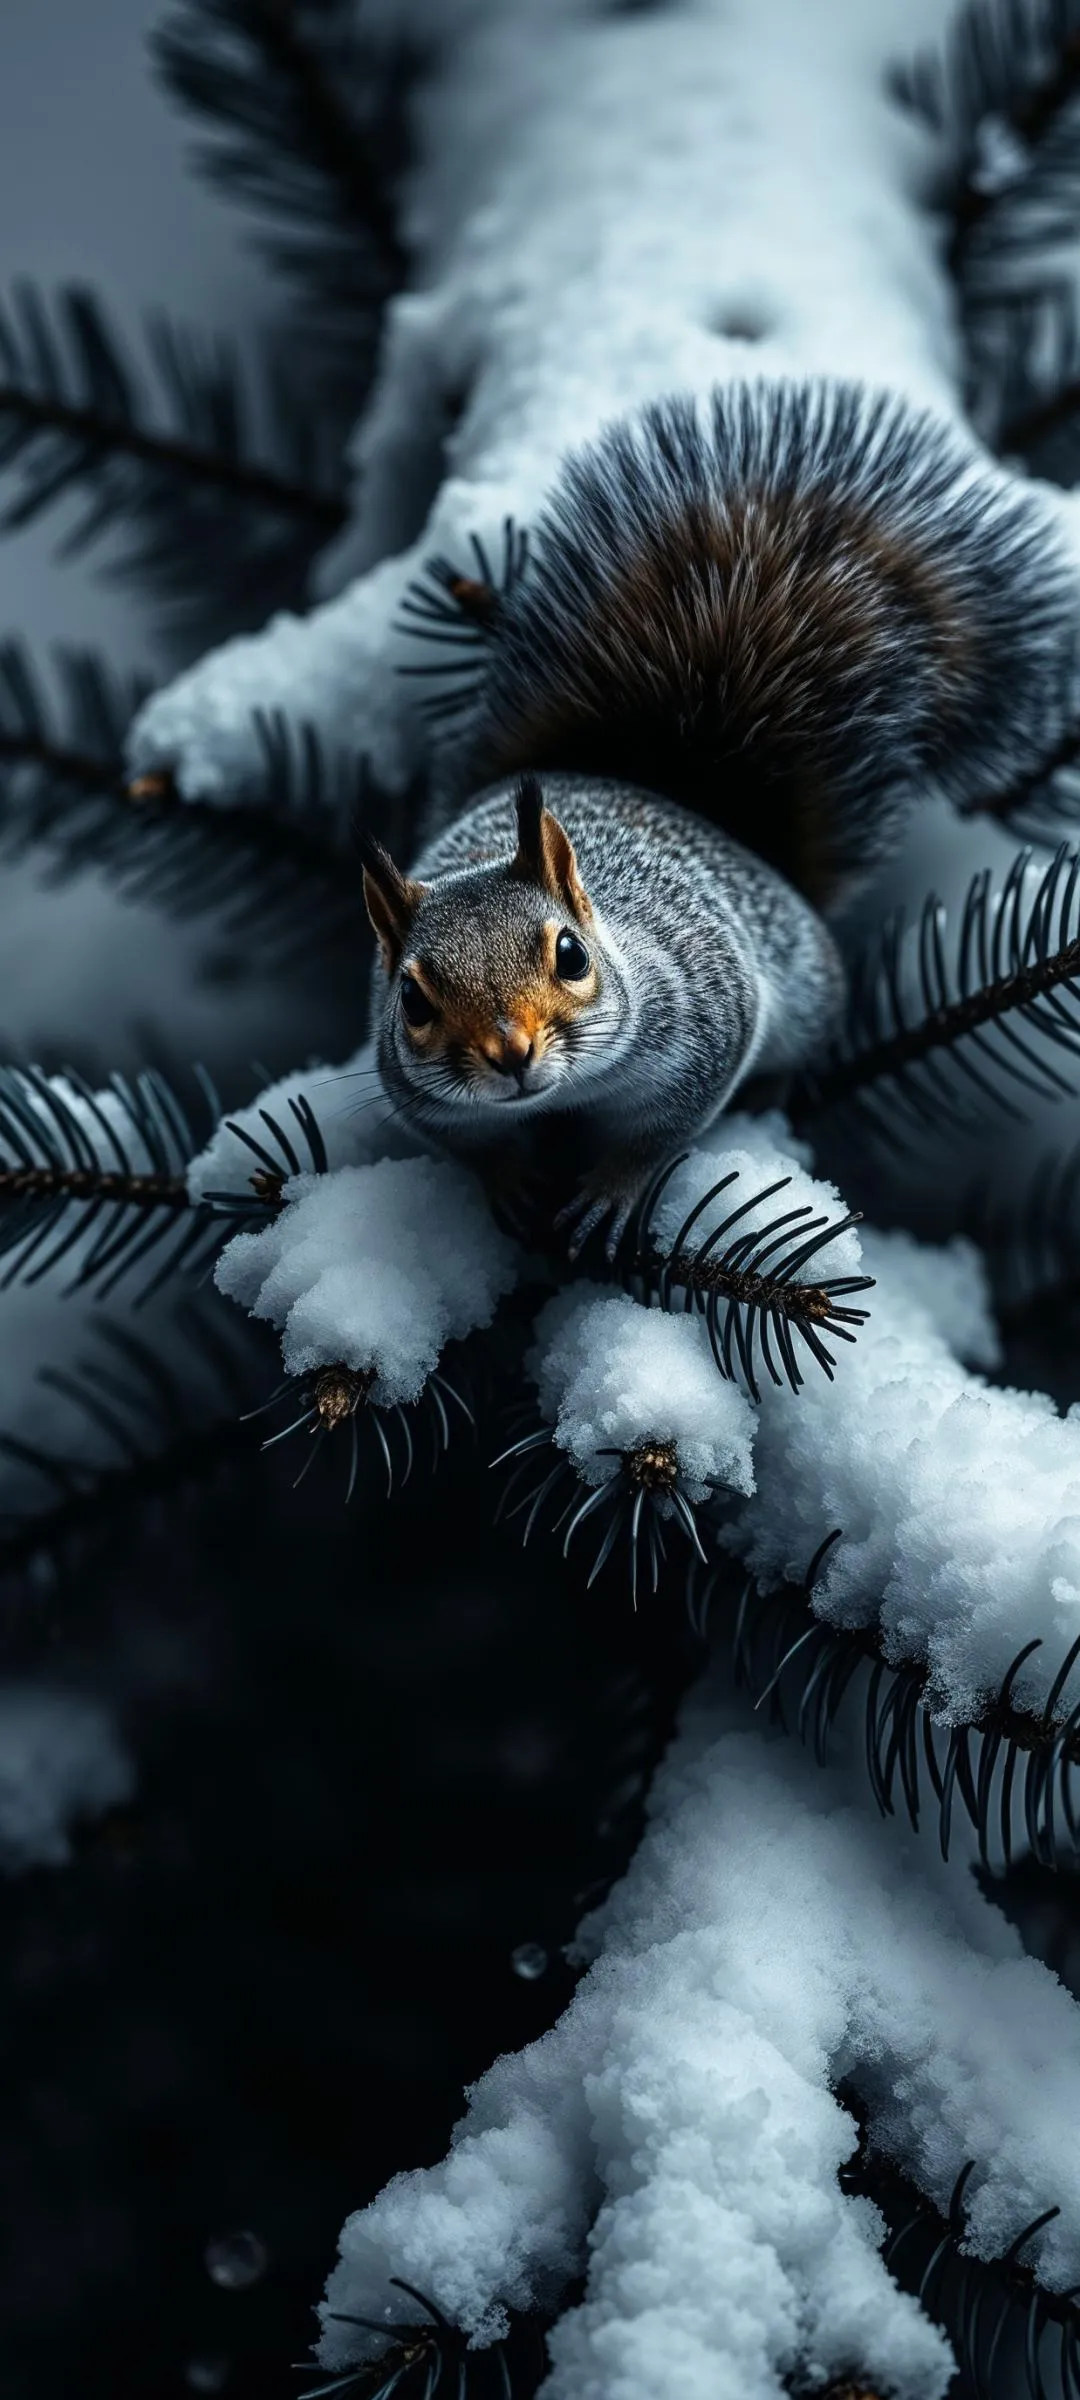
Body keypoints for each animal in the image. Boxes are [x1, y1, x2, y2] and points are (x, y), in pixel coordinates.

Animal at [361, 380, 1077, 1255]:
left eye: (570, 956)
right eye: (412, 1003)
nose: (510, 1053)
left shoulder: (708, 1018)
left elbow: (662, 1131)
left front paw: (612, 1189)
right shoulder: (414, 1094)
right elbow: (468, 1147)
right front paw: (508, 1180)